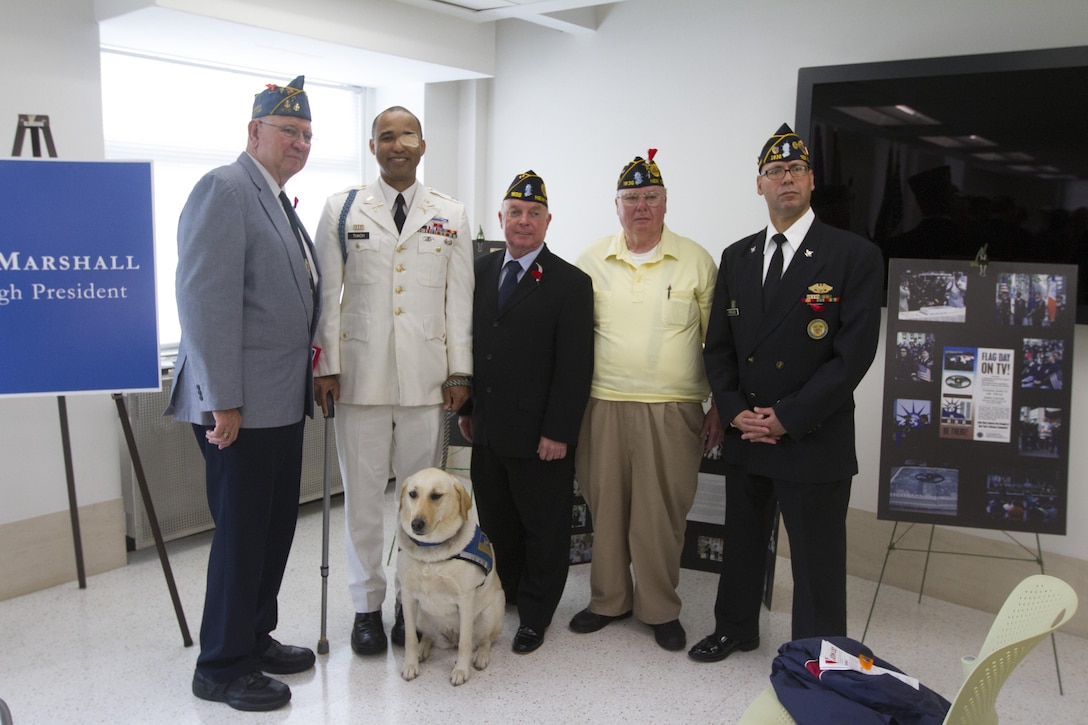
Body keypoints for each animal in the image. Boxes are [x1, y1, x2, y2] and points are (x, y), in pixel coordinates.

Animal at [396, 463, 504, 683]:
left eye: (436, 495)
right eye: (413, 494)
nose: (416, 524)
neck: (431, 550)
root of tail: (450, 638)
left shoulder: (465, 599)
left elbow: (465, 643)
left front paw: (461, 671)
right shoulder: (408, 595)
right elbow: (410, 638)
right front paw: (410, 665)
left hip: (490, 611)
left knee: (484, 640)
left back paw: (481, 657)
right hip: (421, 616)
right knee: (428, 637)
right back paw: (422, 650)